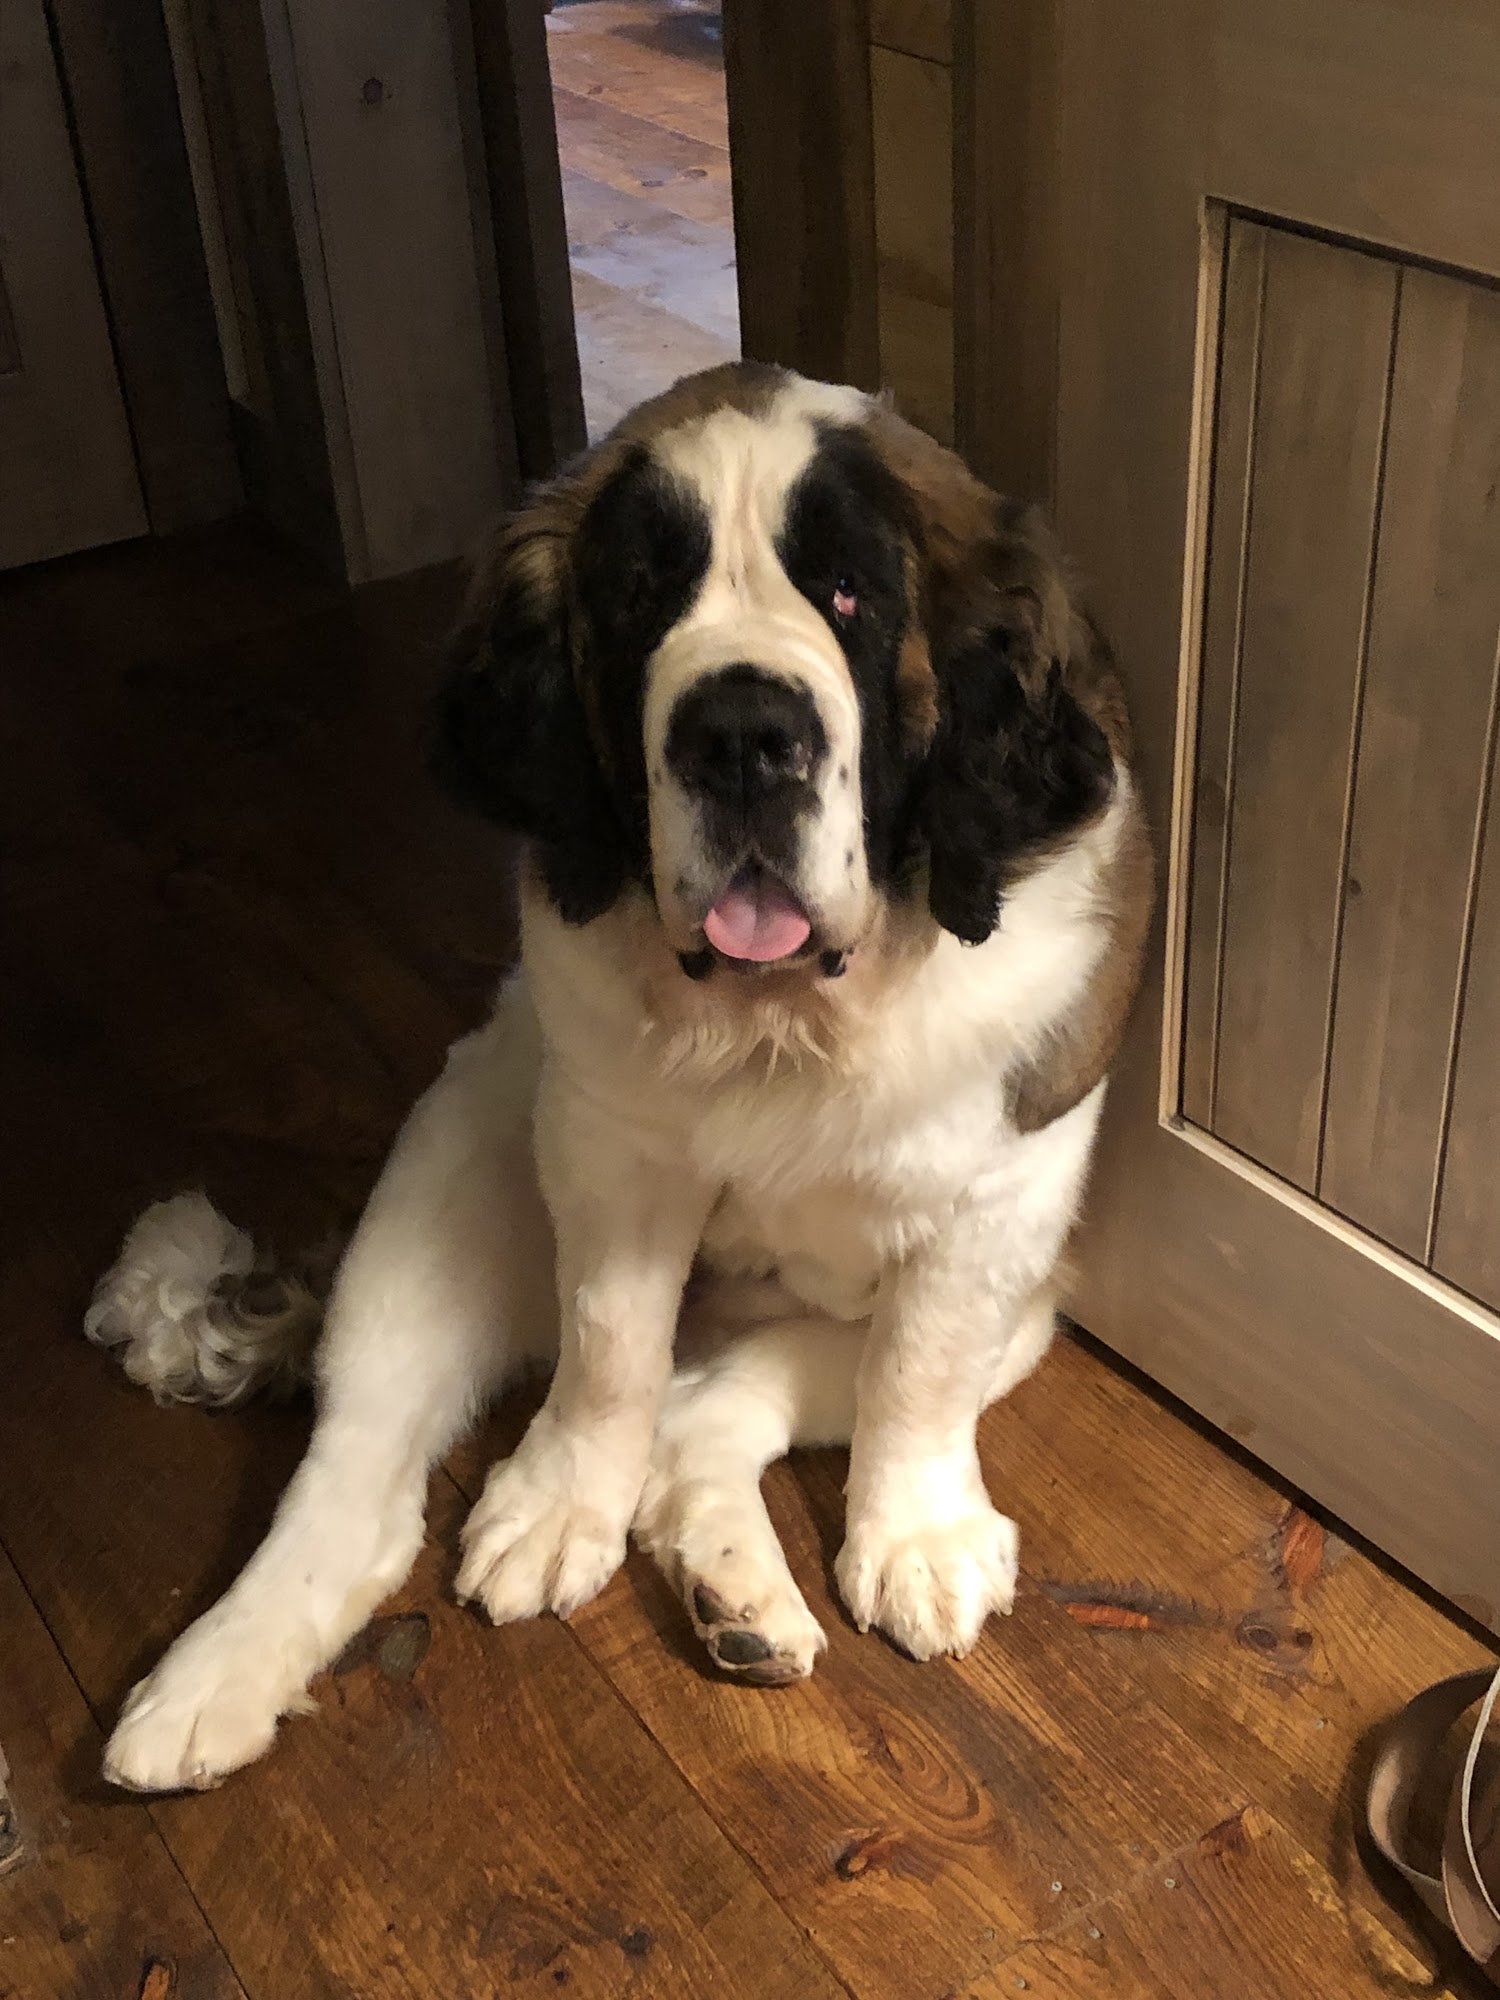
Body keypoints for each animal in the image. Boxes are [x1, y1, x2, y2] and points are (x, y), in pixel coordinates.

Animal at [87, 361, 1151, 1792]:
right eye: (643, 594)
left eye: (851, 593)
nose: (744, 736)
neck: (790, 1022)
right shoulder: (608, 1155)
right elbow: (607, 1343)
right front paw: (556, 1503)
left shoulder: (1003, 1205)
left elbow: (917, 1372)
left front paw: (917, 1532)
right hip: (444, 1177)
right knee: (360, 1469)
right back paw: (212, 1678)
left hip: (1014, 1322)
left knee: (714, 1411)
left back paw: (738, 1599)